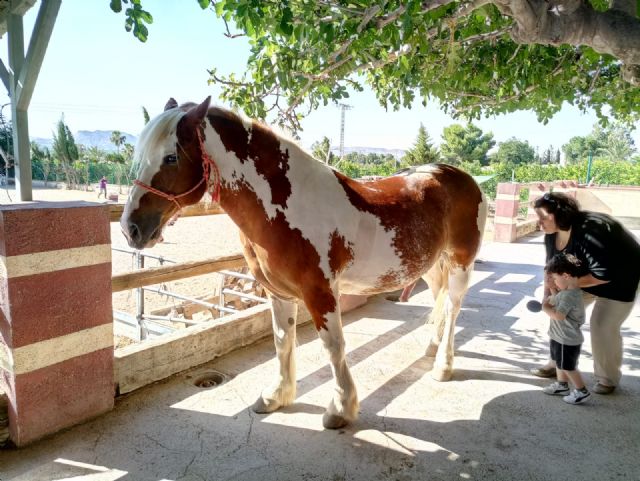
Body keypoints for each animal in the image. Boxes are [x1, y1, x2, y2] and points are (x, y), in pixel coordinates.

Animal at [121, 97, 488, 429]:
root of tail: (459, 176)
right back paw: (431, 348)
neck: (288, 205)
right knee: (440, 299)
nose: (130, 229)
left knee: (453, 307)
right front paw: (276, 396)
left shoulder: (319, 292)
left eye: (171, 157)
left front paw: (340, 408)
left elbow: (333, 345)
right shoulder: (278, 292)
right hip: (431, 265)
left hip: (460, 262)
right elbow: (283, 341)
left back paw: (443, 366)